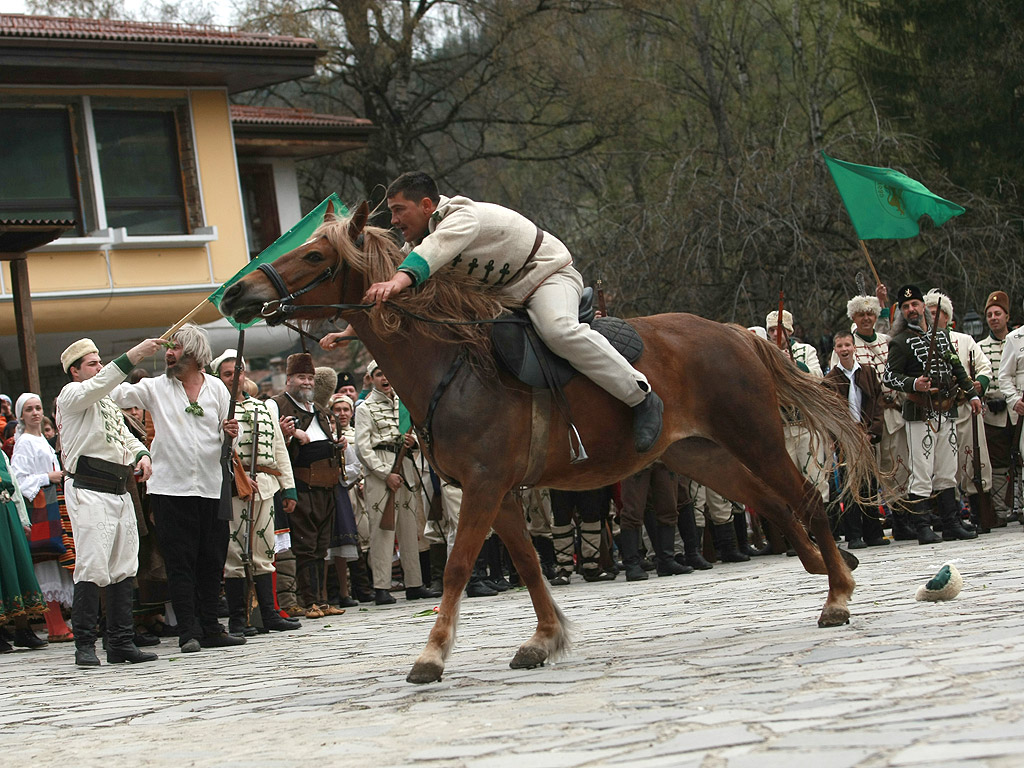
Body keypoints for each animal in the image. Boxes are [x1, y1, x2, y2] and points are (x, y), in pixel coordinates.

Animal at [220, 202, 876, 684]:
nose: (233, 295)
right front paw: (544, 638)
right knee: (770, 502)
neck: (453, 363)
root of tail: (737, 334)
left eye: (313, 254)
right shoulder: (496, 492)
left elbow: (459, 566)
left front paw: (432, 655)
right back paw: (823, 566)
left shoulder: (485, 486)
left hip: (754, 438)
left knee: (805, 499)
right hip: (700, 455)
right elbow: (530, 563)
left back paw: (838, 595)